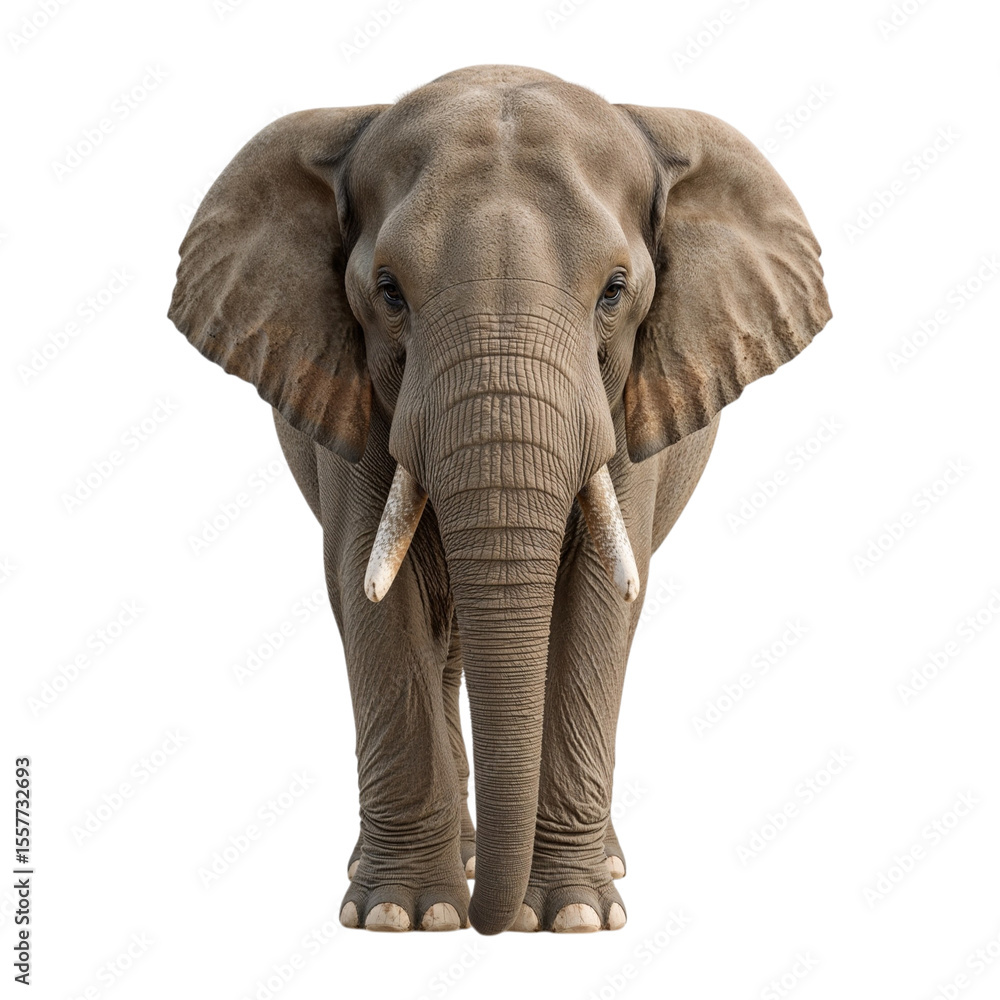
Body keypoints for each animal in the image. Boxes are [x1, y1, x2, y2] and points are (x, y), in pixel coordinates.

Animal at [168, 64, 831, 935]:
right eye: (388, 292)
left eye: (615, 291)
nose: (493, 922)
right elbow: (370, 589)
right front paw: (406, 916)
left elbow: (598, 600)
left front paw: (573, 915)